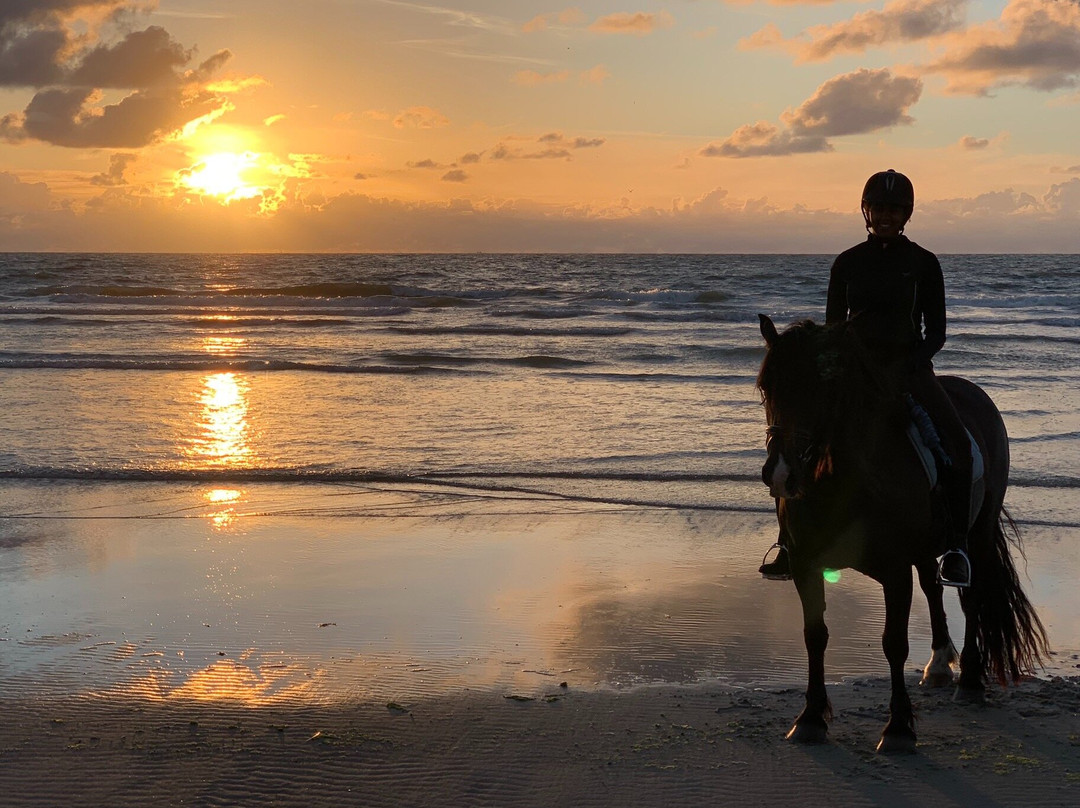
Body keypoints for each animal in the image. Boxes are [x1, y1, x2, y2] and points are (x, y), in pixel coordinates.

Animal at [756, 313, 1049, 751]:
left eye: (820, 388)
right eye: (766, 386)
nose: (779, 474)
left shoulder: (894, 572)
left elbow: (893, 643)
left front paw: (897, 728)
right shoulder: (807, 565)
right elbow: (815, 636)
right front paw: (810, 718)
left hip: (977, 534)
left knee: (972, 596)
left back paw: (971, 680)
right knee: (933, 585)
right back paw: (940, 663)